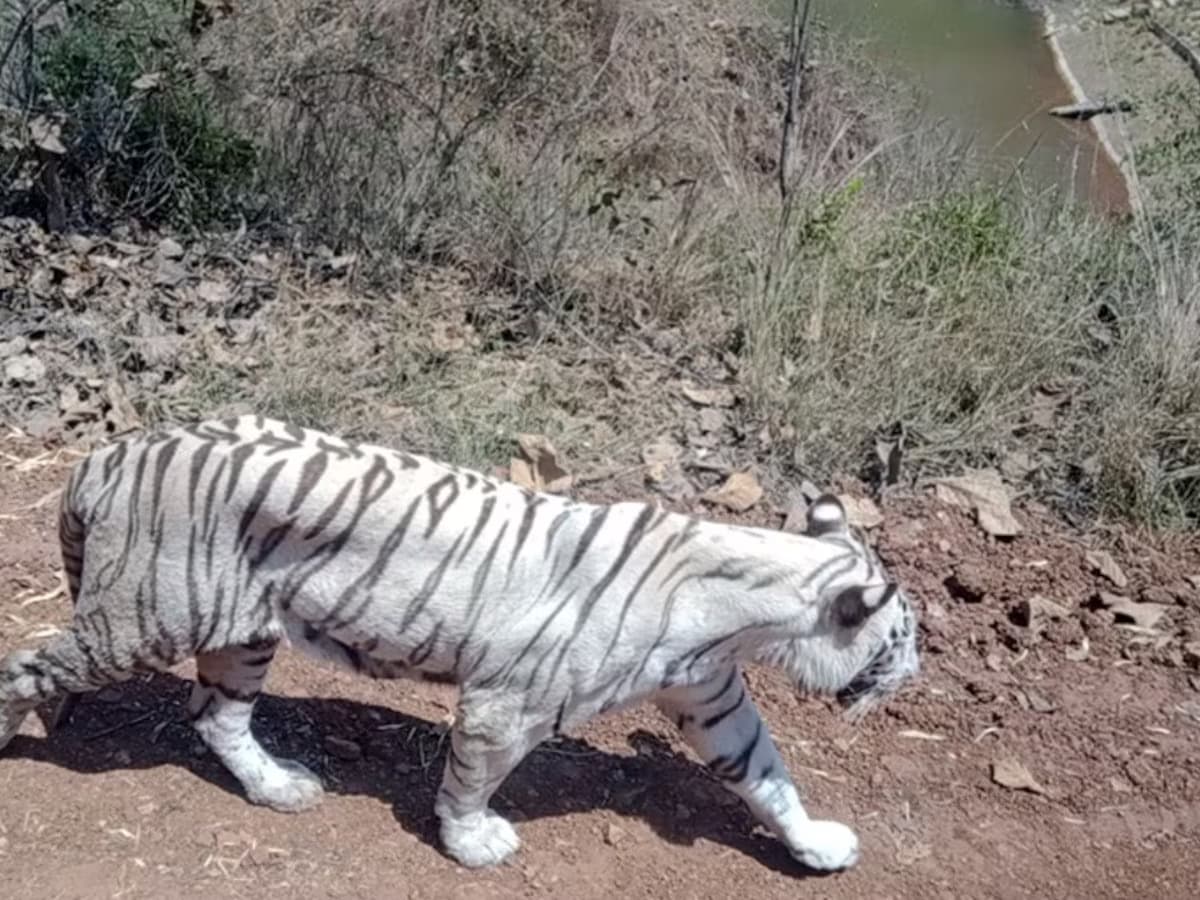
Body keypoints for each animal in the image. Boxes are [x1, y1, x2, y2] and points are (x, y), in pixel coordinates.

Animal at [0, 415, 919, 872]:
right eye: (902, 637)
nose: (913, 670)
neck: (746, 606)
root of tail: (112, 452)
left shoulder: (712, 697)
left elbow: (768, 776)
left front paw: (817, 845)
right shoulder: (503, 703)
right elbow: (474, 777)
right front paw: (473, 844)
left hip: (242, 631)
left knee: (218, 718)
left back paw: (281, 788)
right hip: (147, 617)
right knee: (24, 662)